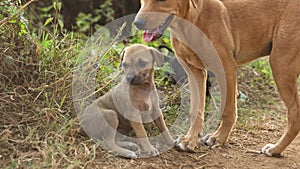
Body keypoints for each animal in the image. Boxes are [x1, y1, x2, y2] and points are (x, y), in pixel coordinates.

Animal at [134, 0, 300, 157]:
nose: (137, 23)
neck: (191, 21)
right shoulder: (194, 72)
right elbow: (196, 110)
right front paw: (190, 140)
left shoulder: (226, 68)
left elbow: (228, 110)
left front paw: (219, 138)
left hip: (280, 63)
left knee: (294, 113)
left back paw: (276, 149)